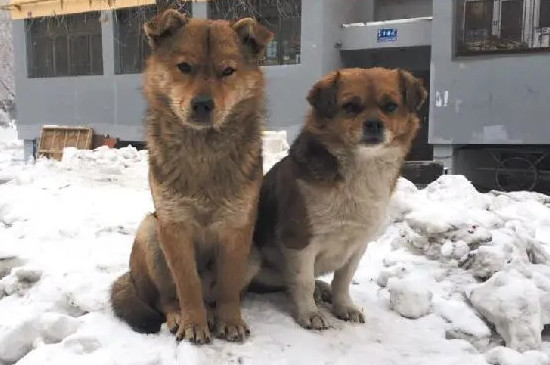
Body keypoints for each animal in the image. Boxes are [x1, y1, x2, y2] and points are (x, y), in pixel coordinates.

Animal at [110, 9, 274, 344]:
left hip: (254, 252)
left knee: (216, 296)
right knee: (165, 299)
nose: (202, 104)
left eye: (228, 71)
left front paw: (230, 321)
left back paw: (214, 313)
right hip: (151, 232)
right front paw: (194, 324)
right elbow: (186, 285)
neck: (203, 148)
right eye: (184, 67)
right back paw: (179, 316)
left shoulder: (238, 229)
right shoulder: (175, 227)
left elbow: (228, 287)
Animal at [252, 67, 430, 328]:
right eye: (350, 106)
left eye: (390, 106)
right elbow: (303, 282)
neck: (360, 169)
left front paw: (343, 306)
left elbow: (343, 281)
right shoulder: (300, 241)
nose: (374, 124)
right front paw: (309, 313)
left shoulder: (358, 245)